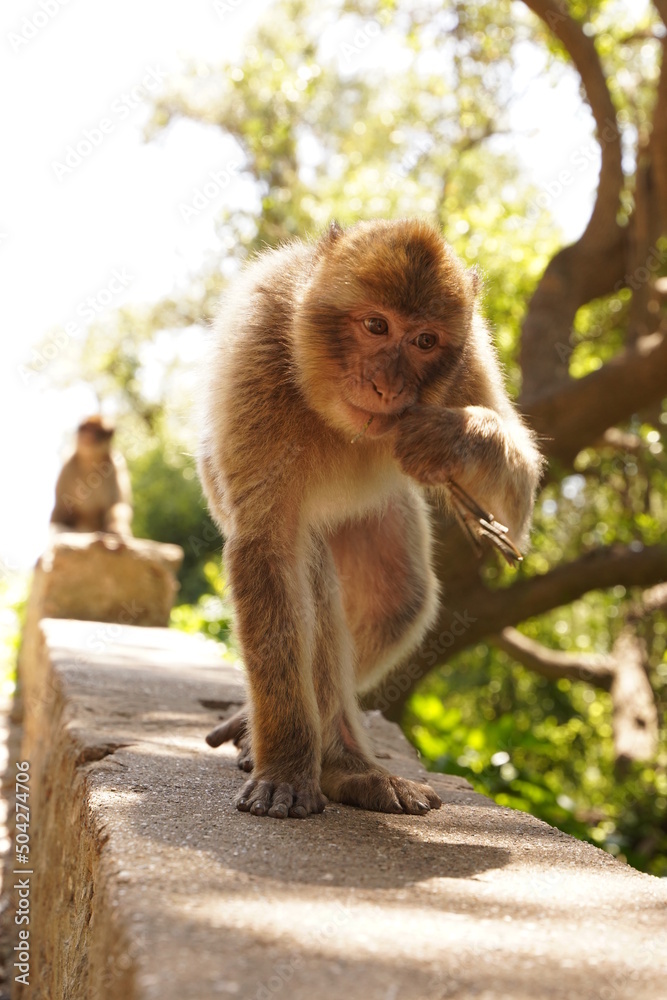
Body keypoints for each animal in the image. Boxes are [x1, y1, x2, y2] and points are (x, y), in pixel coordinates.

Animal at [198, 218, 542, 819]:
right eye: (376, 325)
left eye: (425, 340)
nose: (387, 386)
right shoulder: (256, 352)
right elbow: (266, 545)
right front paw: (284, 766)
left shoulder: (469, 358)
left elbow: (517, 498)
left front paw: (451, 438)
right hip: (213, 475)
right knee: (309, 565)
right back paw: (331, 762)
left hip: (381, 511)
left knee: (399, 600)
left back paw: (340, 762)